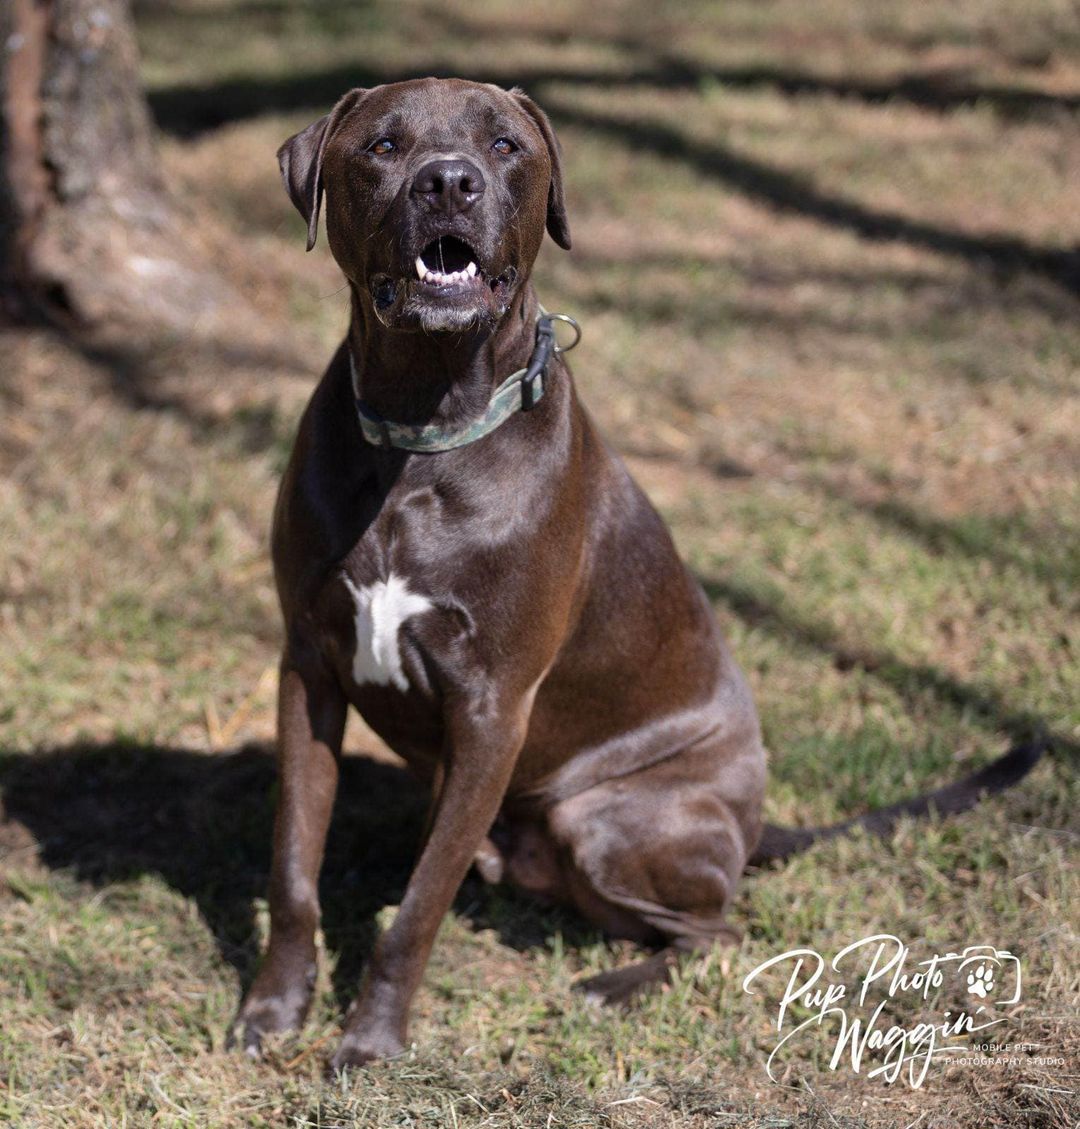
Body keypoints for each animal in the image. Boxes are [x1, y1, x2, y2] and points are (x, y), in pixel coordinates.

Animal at [231, 77, 1042, 1065]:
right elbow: (294, 868)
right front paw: (274, 1010)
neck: (421, 432)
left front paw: (373, 1041)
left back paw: (611, 986)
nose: (449, 182)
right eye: (383, 145)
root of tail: (752, 821)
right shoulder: (310, 666)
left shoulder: (492, 708)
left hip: (607, 818)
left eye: (504, 145)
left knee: (716, 930)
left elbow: (417, 912)